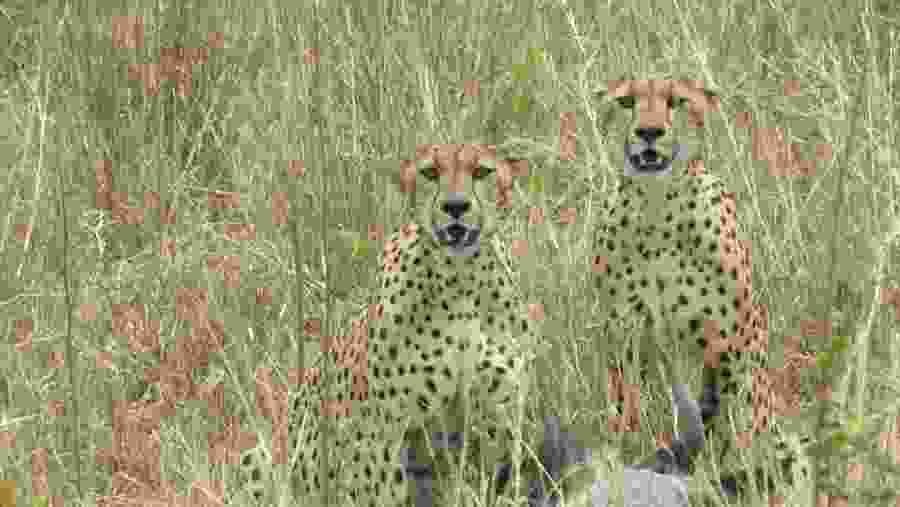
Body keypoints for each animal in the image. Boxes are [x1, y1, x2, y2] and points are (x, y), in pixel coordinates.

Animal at [236, 143, 541, 507]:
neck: (460, 278)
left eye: (481, 171)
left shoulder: (497, 422)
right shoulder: (381, 437)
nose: (455, 206)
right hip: (262, 455)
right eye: (430, 173)